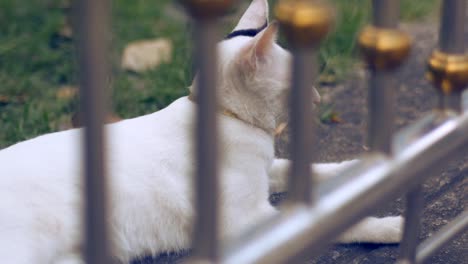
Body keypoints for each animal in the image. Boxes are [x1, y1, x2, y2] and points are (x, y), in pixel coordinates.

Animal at [0, 1, 402, 262]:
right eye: (298, 84)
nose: (317, 99)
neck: (225, 118)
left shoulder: (267, 170)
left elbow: (304, 168)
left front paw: (361, 169)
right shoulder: (246, 220)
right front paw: (388, 229)